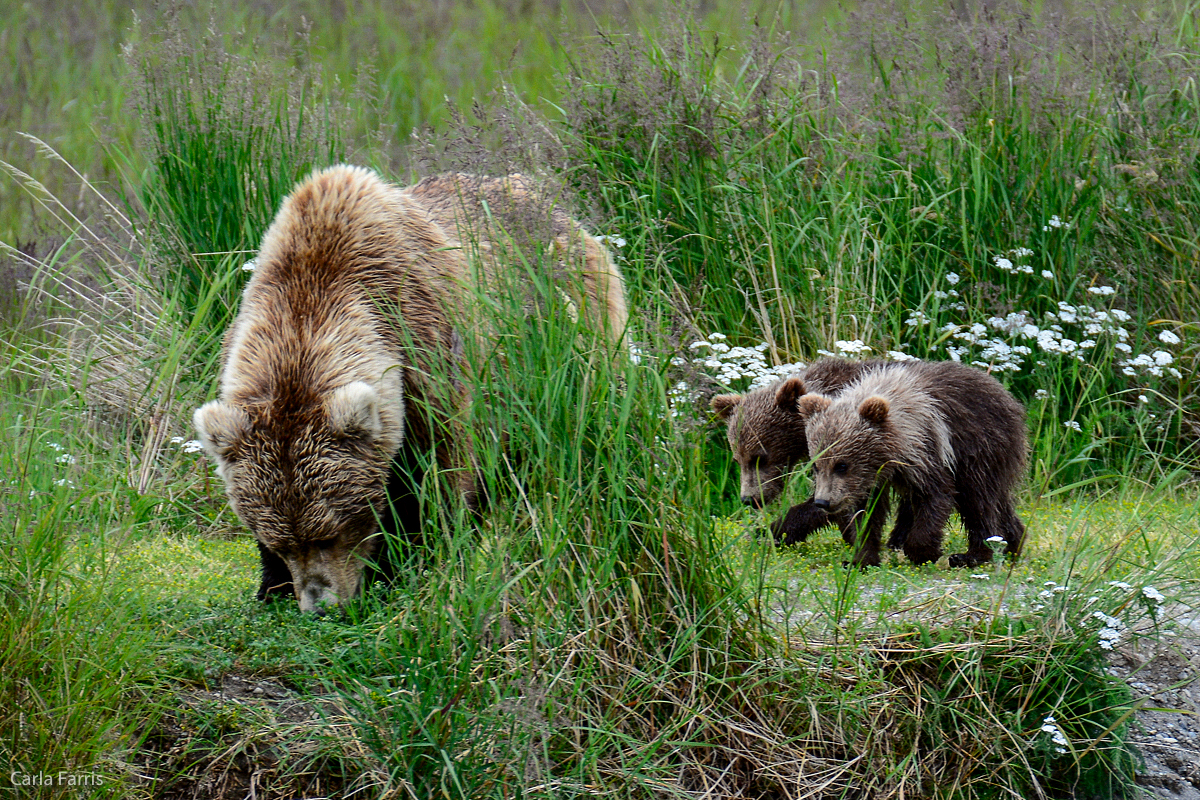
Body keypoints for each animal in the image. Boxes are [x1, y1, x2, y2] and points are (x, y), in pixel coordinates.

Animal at [194, 164, 628, 614]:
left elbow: (438, 475)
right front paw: (272, 586)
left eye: (331, 532)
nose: (321, 604)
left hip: (570, 326)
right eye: (283, 542)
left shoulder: (424, 351)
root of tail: (556, 205)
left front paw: (411, 565)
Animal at [801, 359, 1027, 573]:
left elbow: (936, 494)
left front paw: (924, 552)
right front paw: (861, 559)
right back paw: (1012, 542)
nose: (823, 501)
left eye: (842, 465)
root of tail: (1008, 396)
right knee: (997, 501)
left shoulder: (925, 450)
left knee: (978, 499)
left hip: (980, 448)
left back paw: (971, 555)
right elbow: (867, 514)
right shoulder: (870, 480)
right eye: (816, 466)